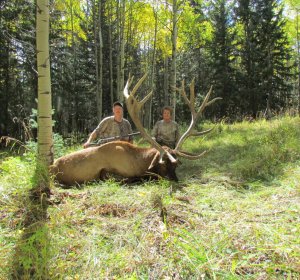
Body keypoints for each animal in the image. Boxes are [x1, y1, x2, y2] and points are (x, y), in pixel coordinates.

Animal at [49, 75, 220, 186]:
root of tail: (51, 165)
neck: (139, 162)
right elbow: (134, 178)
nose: (175, 180)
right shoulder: (109, 173)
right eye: (164, 163)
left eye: (176, 165)